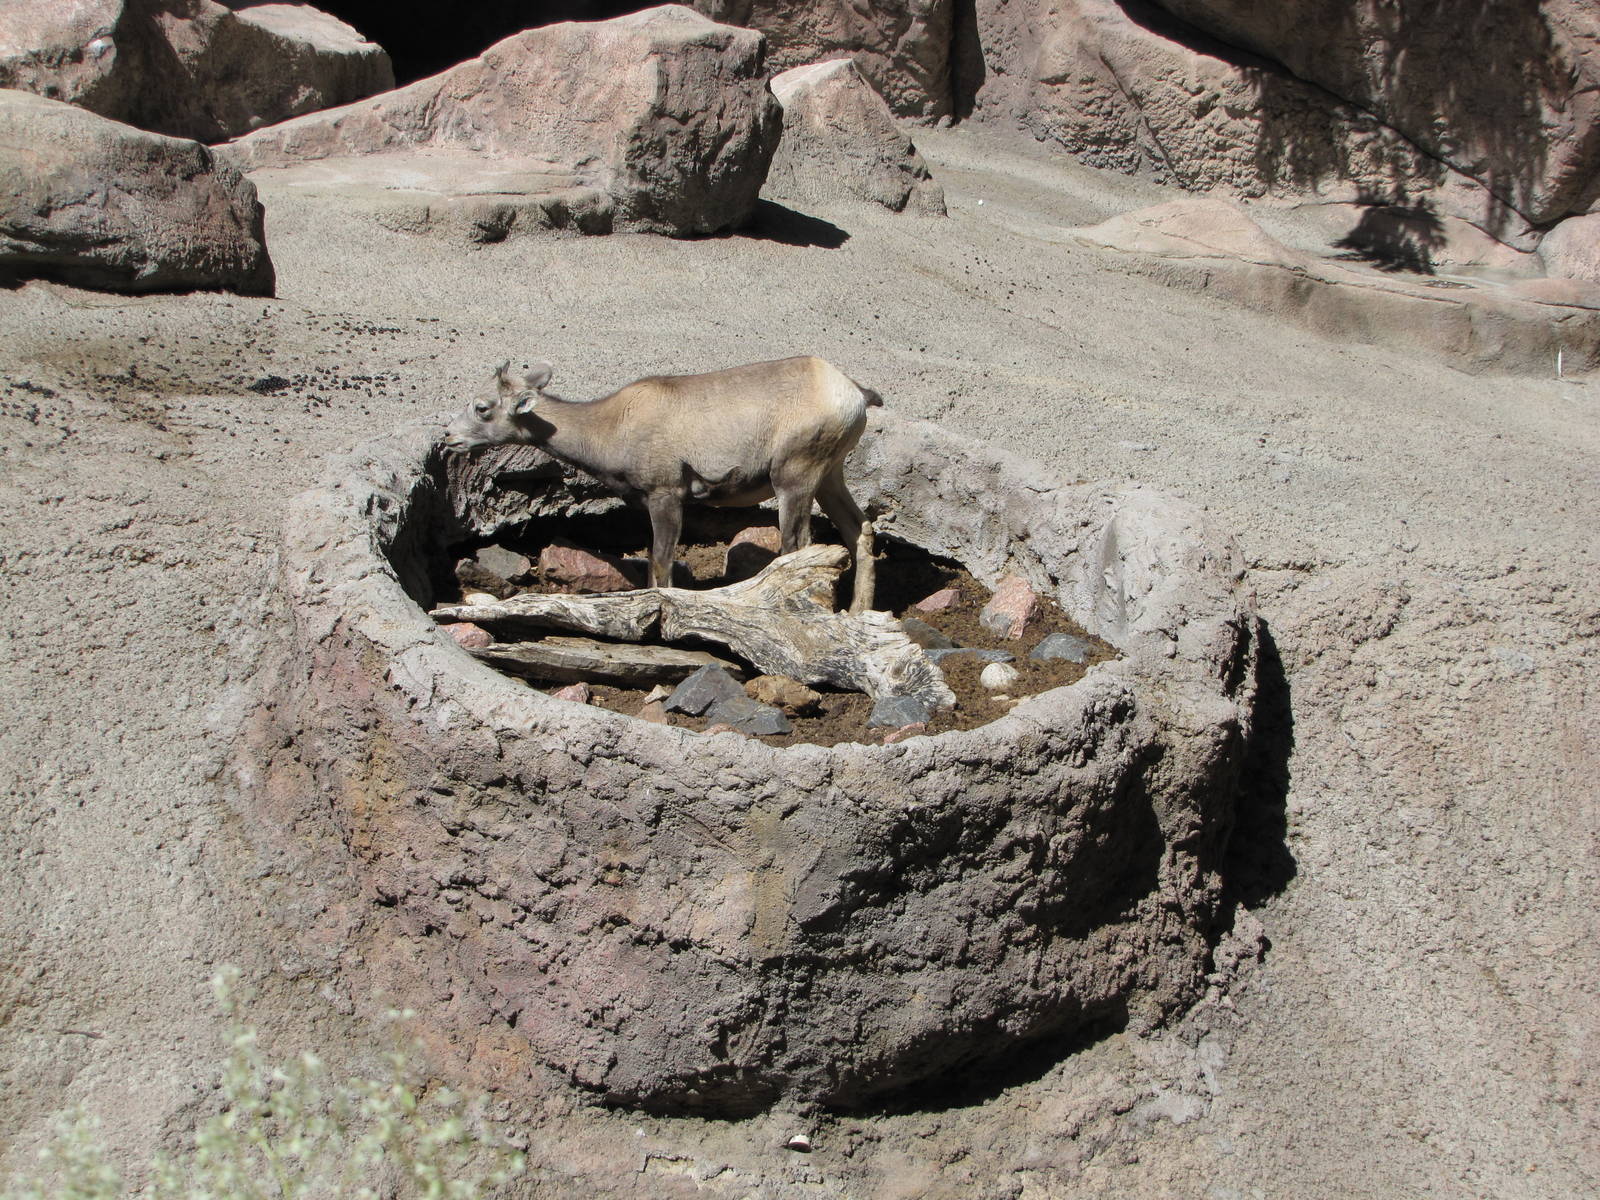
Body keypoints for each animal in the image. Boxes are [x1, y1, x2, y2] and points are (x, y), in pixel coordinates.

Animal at [444, 356, 882, 590]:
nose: (449, 437)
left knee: (797, 546)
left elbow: (661, 562)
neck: (612, 427)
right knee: (859, 530)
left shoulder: (666, 496)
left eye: (482, 407)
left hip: (794, 480)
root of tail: (854, 394)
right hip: (829, 476)